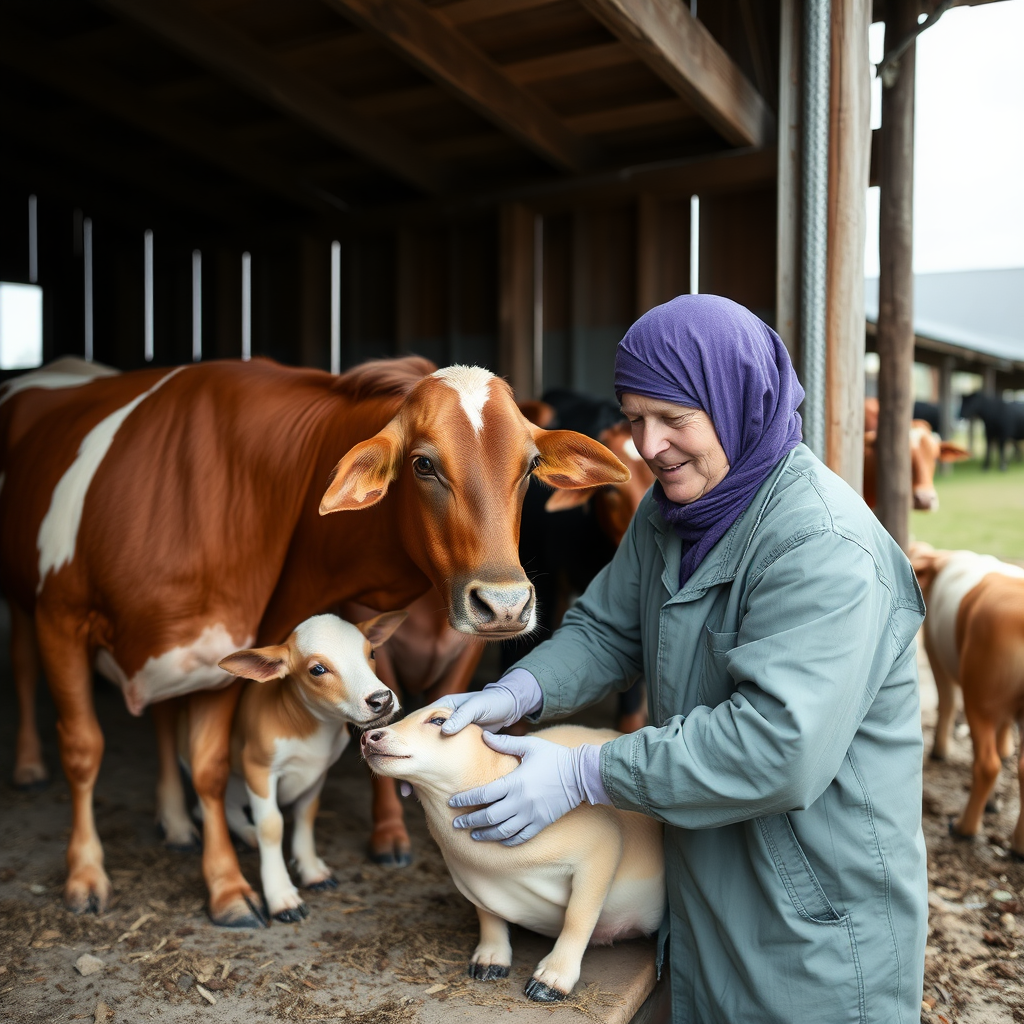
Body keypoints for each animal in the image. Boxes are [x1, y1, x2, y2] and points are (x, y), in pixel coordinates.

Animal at [0, 356, 622, 925]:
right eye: (423, 464)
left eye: (531, 465)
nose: (506, 605)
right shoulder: (61, 617)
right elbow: (84, 749)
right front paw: (86, 875)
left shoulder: (224, 647)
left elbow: (208, 764)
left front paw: (226, 887)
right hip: (28, 609)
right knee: (27, 674)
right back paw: (29, 766)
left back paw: (176, 822)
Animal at [913, 544, 1024, 856]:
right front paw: (1006, 749)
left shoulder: (933, 650)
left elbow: (947, 700)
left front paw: (939, 752)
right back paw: (1018, 847)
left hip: (979, 691)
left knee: (987, 764)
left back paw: (963, 829)